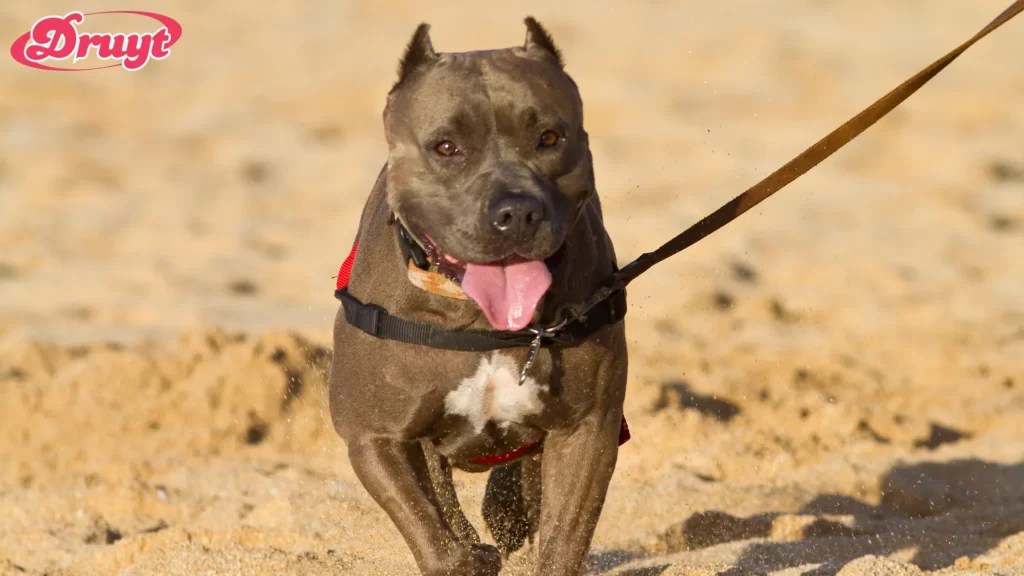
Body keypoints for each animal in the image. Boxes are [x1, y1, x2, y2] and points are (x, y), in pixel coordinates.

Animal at [327, 17, 626, 573]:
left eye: (549, 137)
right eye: (446, 147)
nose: (517, 211)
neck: (479, 318)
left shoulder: (589, 431)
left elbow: (564, 538)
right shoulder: (375, 437)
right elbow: (432, 530)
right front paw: (466, 555)